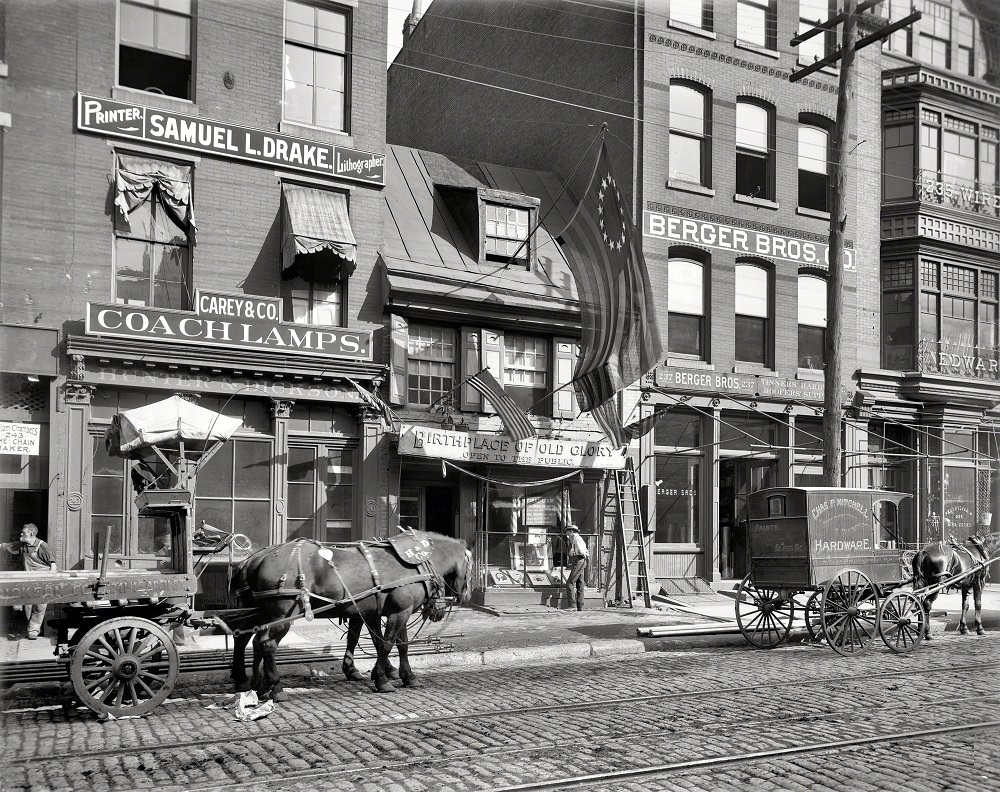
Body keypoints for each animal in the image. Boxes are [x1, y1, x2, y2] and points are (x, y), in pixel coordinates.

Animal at [230, 532, 472, 700]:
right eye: (470, 566)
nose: (467, 595)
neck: (415, 562)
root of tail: (256, 559)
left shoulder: (391, 611)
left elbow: (397, 644)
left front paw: (407, 676)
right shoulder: (397, 613)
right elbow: (386, 644)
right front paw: (382, 679)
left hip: (259, 611)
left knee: (247, 639)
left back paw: (254, 682)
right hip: (283, 612)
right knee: (266, 643)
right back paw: (275, 687)